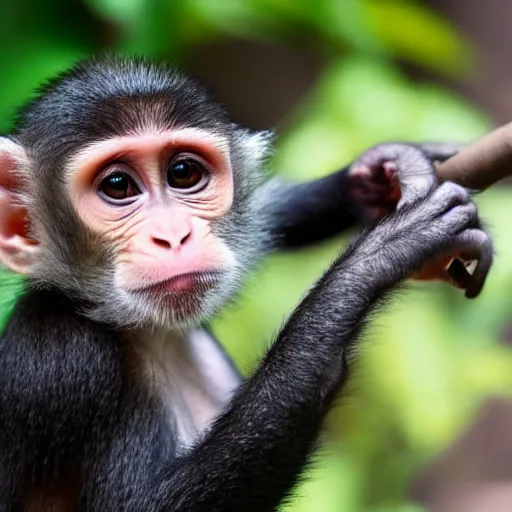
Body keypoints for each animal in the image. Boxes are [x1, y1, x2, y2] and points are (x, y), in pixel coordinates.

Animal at [0, 58, 492, 510]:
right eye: (118, 185)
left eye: (183, 173)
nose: (174, 235)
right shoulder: (60, 361)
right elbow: (142, 506)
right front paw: (378, 256)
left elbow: (269, 214)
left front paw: (377, 175)